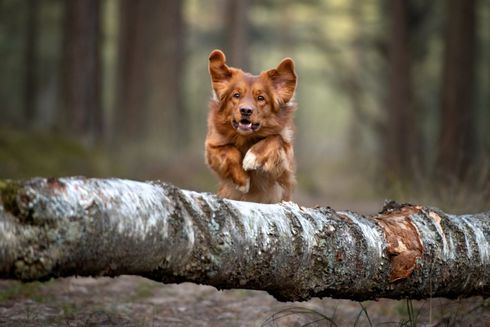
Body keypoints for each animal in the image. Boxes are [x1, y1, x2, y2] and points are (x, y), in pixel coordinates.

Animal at [205, 49, 296, 204]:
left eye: (261, 98)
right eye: (236, 95)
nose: (246, 110)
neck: (245, 138)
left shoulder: (284, 162)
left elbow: (275, 138)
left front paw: (252, 157)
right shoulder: (212, 147)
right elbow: (230, 150)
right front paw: (243, 181)